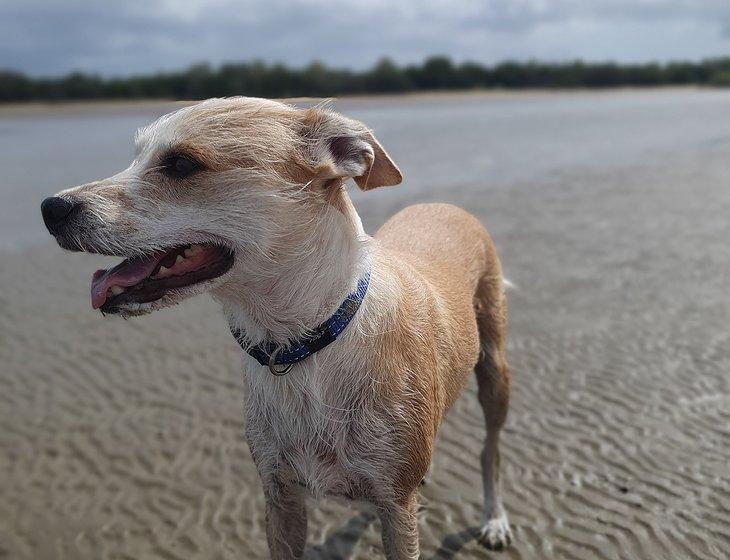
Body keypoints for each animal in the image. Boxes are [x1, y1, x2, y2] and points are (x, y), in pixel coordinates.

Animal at [41, 98, 512, 556]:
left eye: (181, 163)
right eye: (136, 156)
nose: (51, 208)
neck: (301, 343)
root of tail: (444, 204)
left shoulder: (396, 504)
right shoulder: (280, 494)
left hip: (495, 370)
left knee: (490, 450)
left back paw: (495, 521)